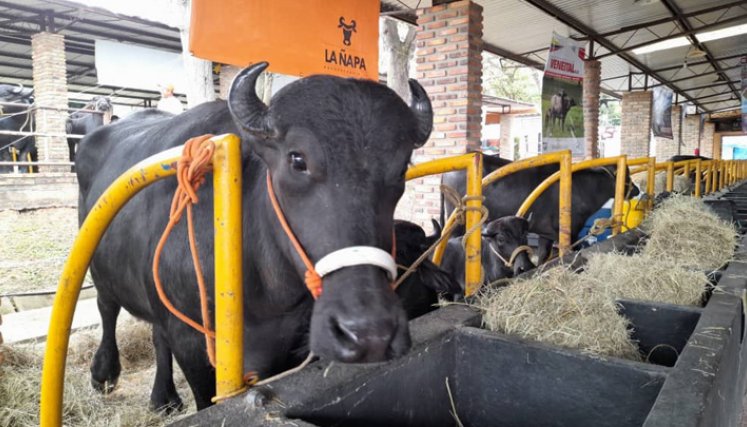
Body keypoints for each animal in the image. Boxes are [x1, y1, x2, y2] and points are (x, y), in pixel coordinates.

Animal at [76, 63, 433, 411]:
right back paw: (104, 373)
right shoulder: (189, 341)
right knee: (107, 307)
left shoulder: (287, 343)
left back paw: (163, 398)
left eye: (402, 168)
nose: (369, 334)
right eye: (297, 159)